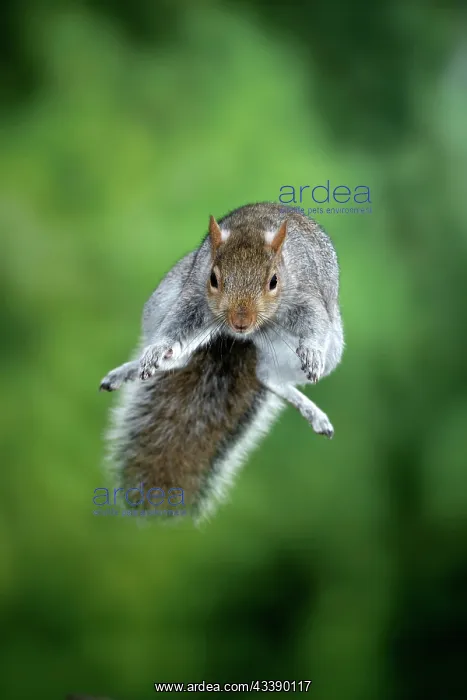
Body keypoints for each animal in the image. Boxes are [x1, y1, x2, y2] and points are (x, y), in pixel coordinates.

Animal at [100, 202, 344, 521]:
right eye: (214, 279)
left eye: (273, 281)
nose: (241, 321)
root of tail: (244, 340)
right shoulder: (193, 298)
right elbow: (177, 327)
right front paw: (159, 349)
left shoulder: (307, 297)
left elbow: (314, 325)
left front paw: (312, 352)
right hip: (163, 299)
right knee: (182, 358)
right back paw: (137, 367)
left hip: (328, 348)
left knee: (268, 376)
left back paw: (311, 410)